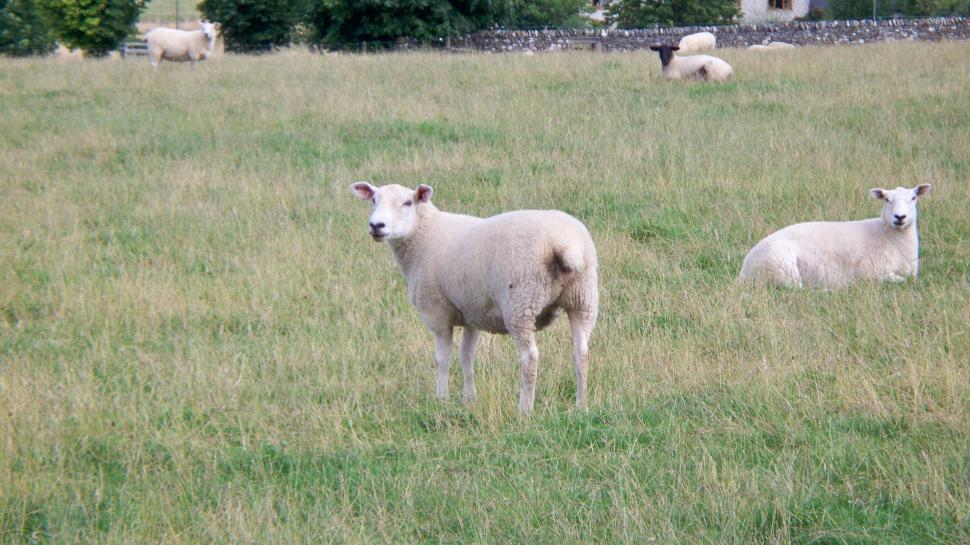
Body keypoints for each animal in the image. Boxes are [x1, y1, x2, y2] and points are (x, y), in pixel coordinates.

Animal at [350, 182, 599, 413]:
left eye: (407, 203)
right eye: (373, 200)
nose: (376, 226)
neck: (424, 237)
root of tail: (566, 245)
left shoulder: (436, 312)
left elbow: (442, 358)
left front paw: (442, 399)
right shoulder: (472, 314)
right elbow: (467, 356)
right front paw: (469, 399)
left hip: (521, 303)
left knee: (530, 357)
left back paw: (524, 409)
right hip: (583, 299)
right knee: (581, 352)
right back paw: (582, 406)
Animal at [739, 185, 932, 288]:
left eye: (913, 198)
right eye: (886, 200)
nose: (900, 217)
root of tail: (744, 271)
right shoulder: (869, 273)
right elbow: (899, 280)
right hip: (782, 266)